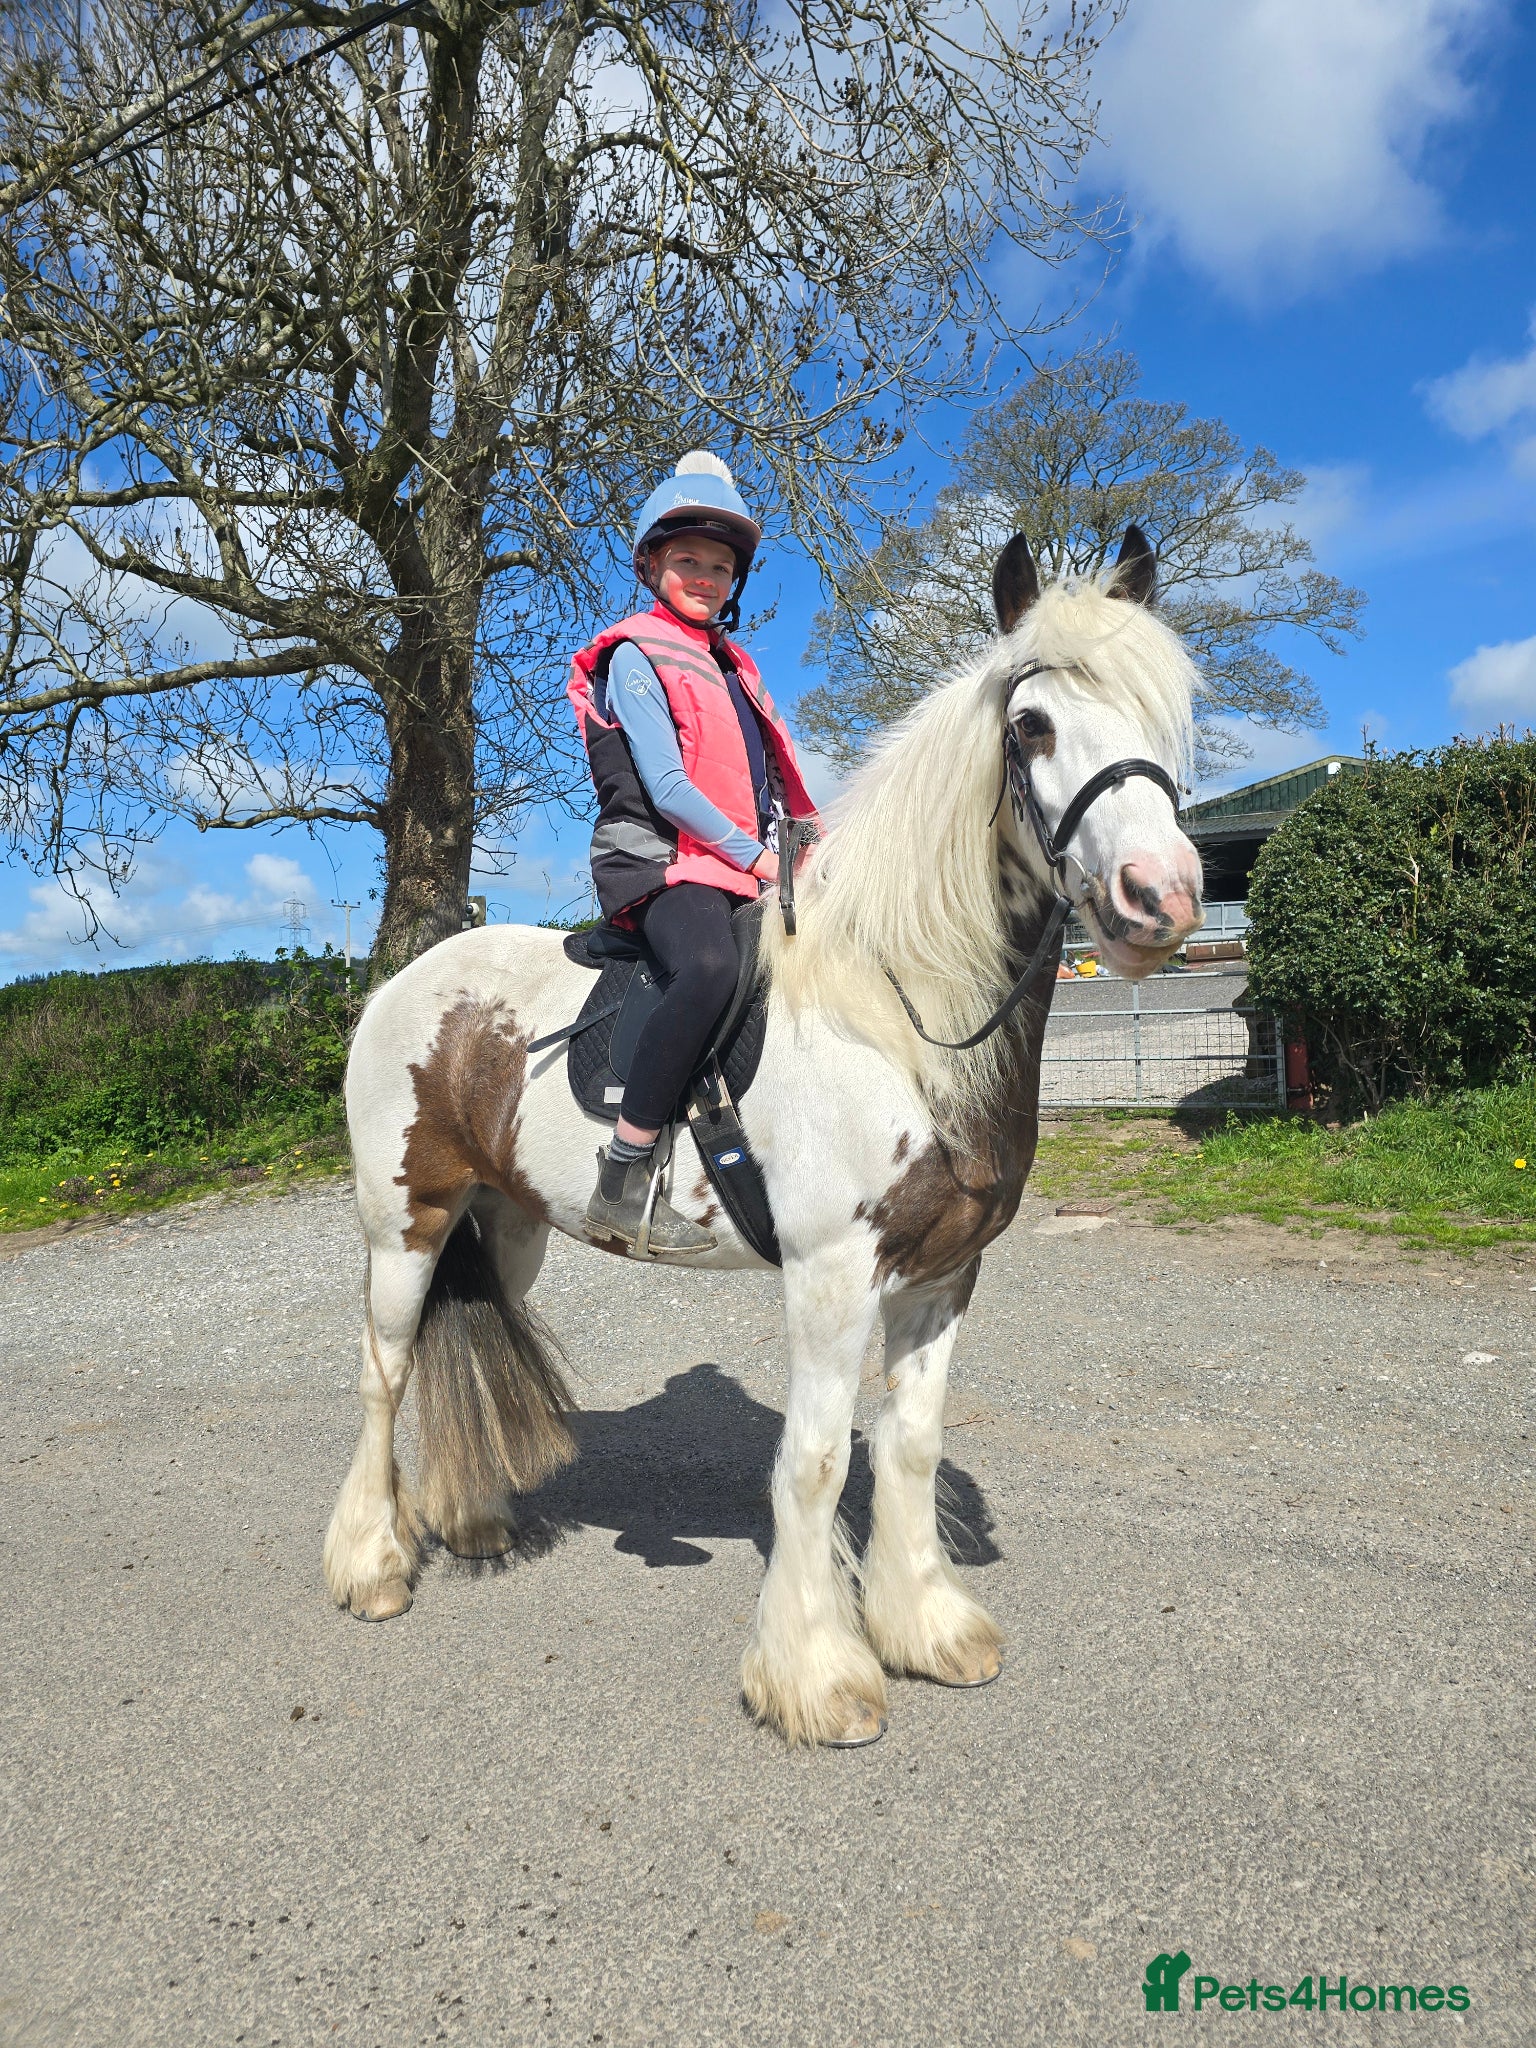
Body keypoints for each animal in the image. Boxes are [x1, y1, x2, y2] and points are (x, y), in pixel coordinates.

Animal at [325, 527, 1204, 1748]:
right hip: (403, 1221)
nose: (1159, 898)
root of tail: (403, 986)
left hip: (505, 1226)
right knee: (383, 1371)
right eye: (1031, 725)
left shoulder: (945, 1274)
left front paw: (928, 1627)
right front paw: (818, 1674)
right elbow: (817, 1461)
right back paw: (372, 1565)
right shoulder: (832, 1276)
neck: (893, 1013)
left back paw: (476, 1517)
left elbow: (910, 1445)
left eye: (1168, 711)